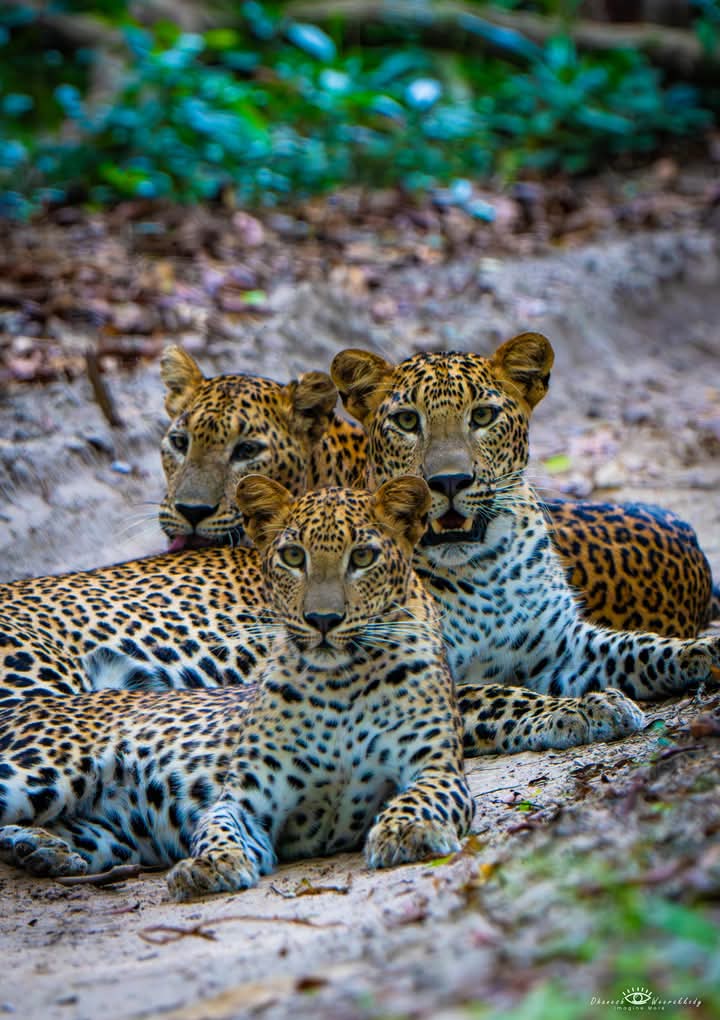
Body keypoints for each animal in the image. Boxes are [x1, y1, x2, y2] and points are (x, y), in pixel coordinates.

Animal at [0, 477, 477, 897]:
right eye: (292, 556)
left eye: (362, 557)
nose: (322, 620)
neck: (341, 682)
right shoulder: (246, 800)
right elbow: (218, 829)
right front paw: (208, 866)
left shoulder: (436, 769)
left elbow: (419, 798)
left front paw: (407, 830)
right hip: (37, 769)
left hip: (106, 833)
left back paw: (42, 849)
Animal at [330, 333, 720, 728]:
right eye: (407, 421)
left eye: (483, 416)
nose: (449, 481)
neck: (484, 570)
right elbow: (505, 697)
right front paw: (585, 708)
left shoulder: (566, 646)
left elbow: (639, 647)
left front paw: (707, 649)